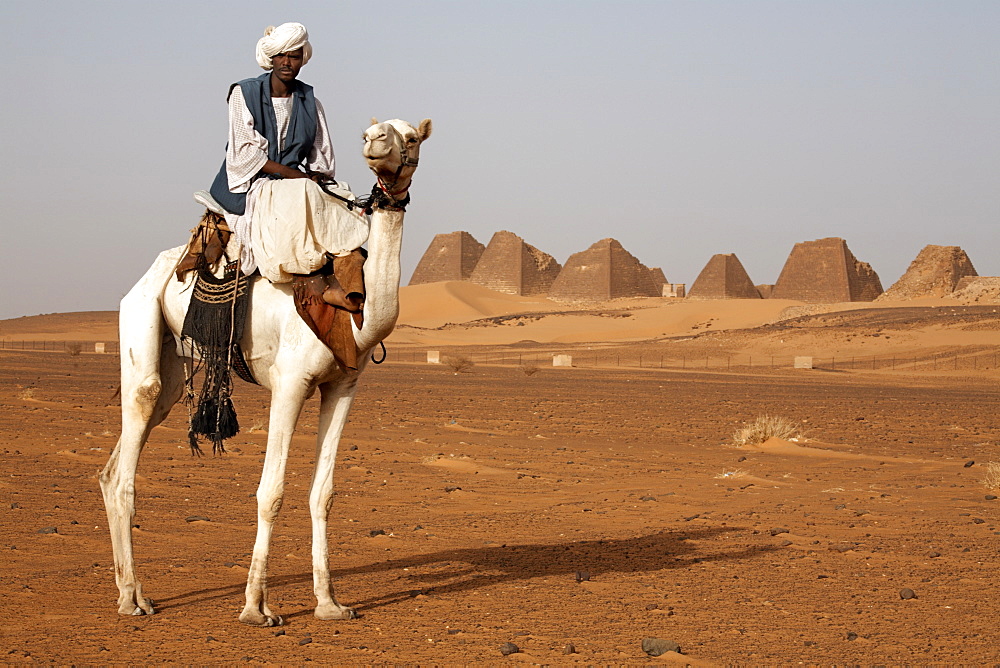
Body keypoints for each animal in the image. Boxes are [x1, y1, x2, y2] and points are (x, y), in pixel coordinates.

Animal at [99, 117, 432, 624]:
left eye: (411, 137)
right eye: (376, 131)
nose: (374, 141)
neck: (355, 317)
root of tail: (144, 277)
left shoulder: (343, 385)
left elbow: (323, 494)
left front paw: (330, 603)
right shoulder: (290, 384)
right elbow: (270, 492)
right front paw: (256, 607)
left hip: (171, 366)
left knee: (117, 459)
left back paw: (132, 590)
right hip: (140, 327)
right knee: (126, 460)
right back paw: (131, 599)